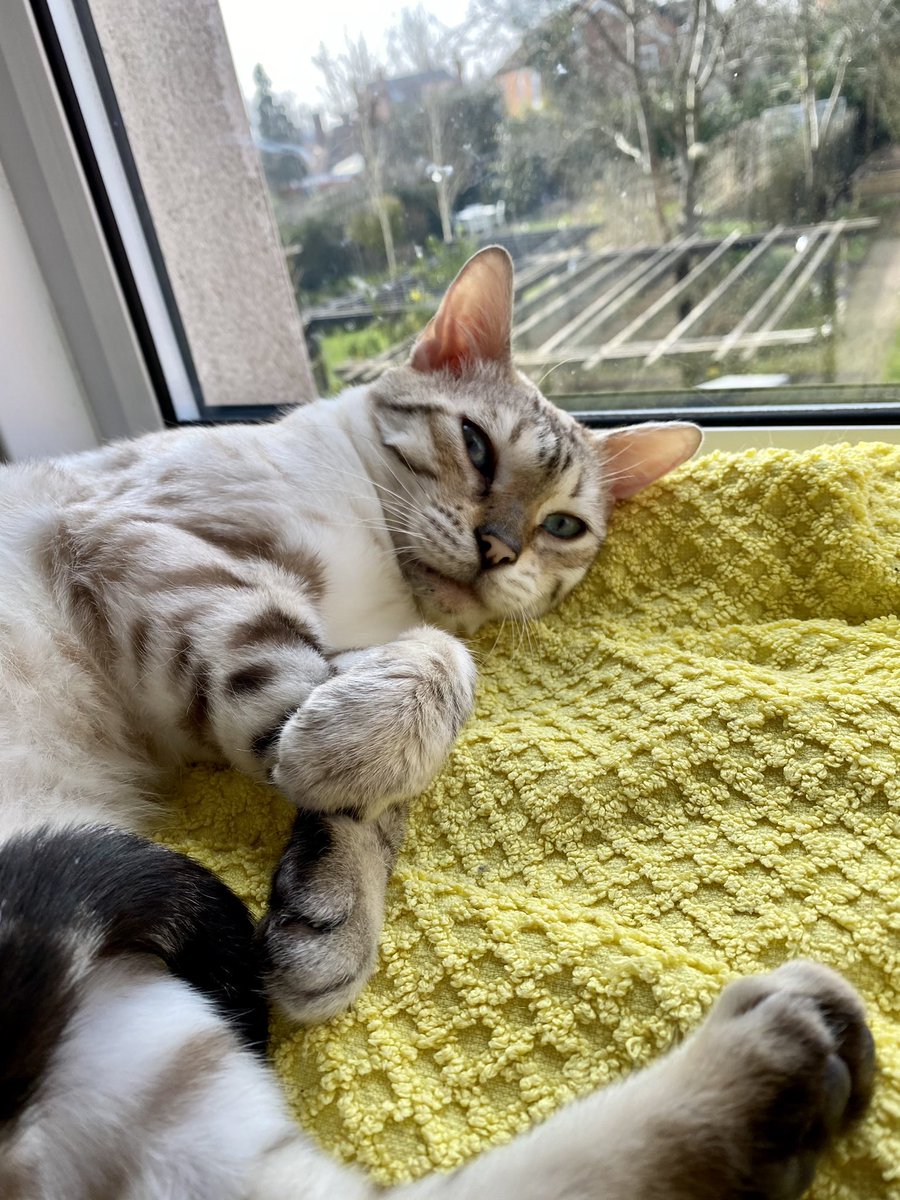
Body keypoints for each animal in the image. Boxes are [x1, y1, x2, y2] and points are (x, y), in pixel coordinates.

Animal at [0, 246, 873, 1200]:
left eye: (562, 525)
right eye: (477, 447)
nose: (499, 549)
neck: (376, 585)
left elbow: (400, 740)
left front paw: (329, 912)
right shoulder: (143, 543)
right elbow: (350, 686)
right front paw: (339, 780)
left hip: (141, 1045)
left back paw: (789, 1052)